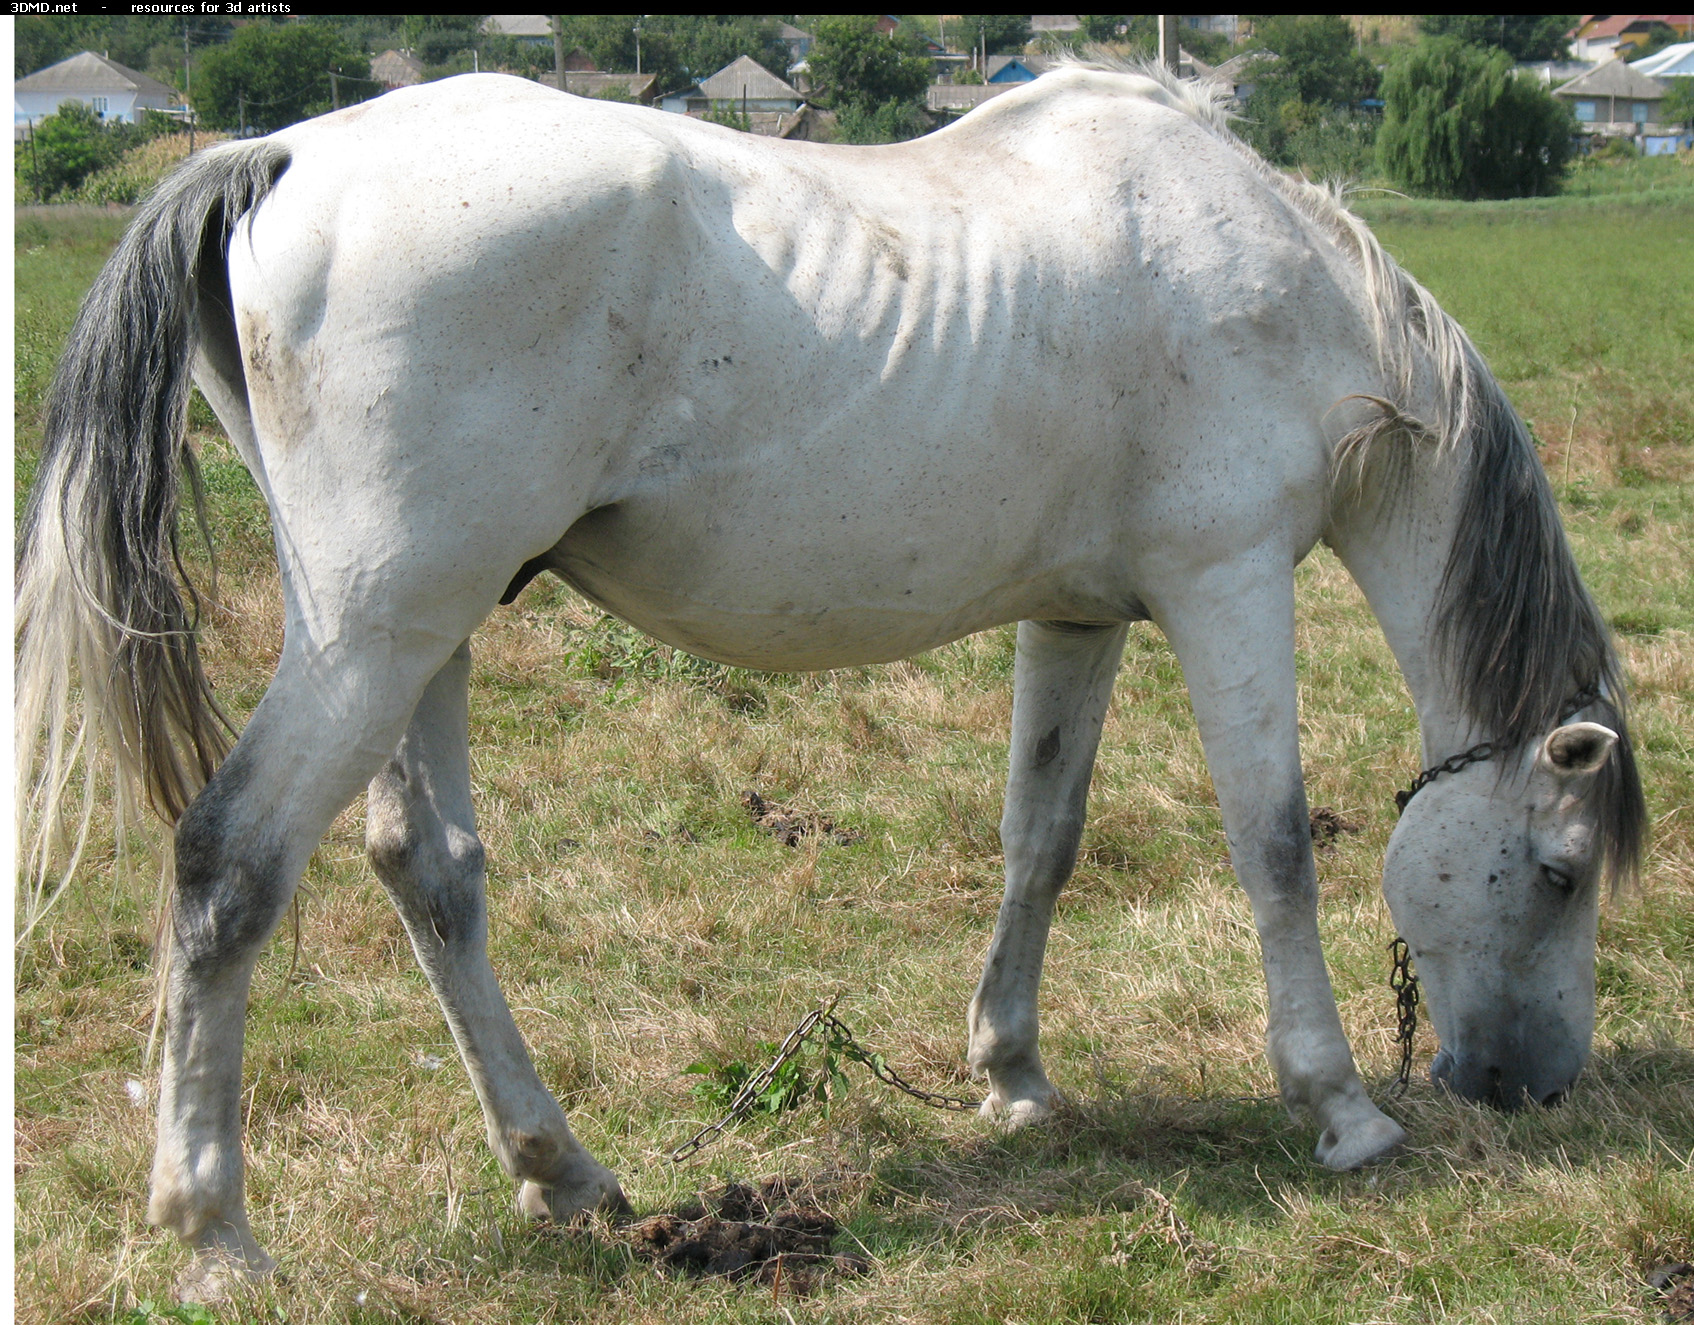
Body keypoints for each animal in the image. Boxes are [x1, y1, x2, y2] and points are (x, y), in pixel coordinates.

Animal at [16, 67, 1639, 1301]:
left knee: (429, 868)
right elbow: (1276, 845)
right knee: (229, 865)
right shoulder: (1225, 584)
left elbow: (1039, 839)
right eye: (1559, 874)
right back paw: (216, 1235)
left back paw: (562, 1173)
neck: (1281, 289)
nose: (1531, 1085)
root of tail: (281, 153)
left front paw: (1013, 1075)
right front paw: (1340, 1108)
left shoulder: (1080, 619)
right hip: (374, 636)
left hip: (422, 635)